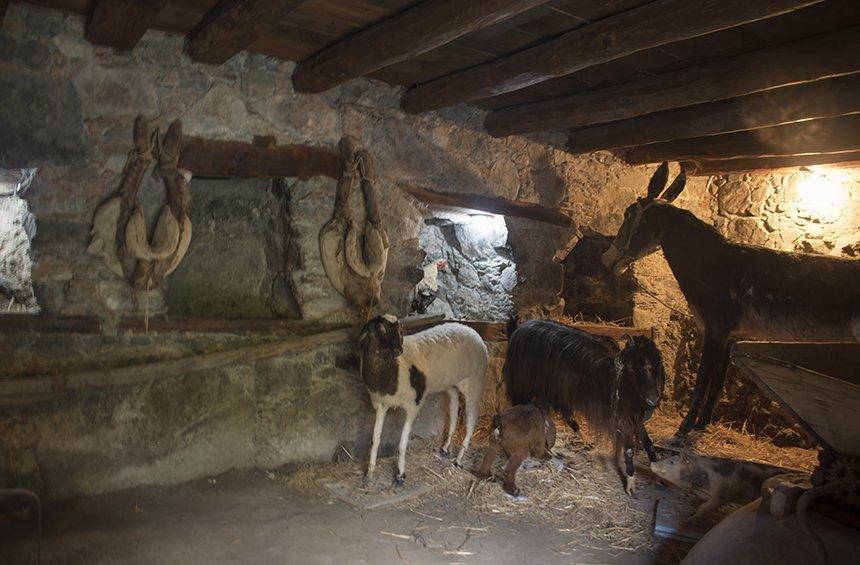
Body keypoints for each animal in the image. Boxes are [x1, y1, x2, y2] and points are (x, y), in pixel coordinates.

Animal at [504, 318, 664, 494]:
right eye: (631, 367)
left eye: (658, 366)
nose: (653, 400)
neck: (618, 379)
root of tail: (520, 328)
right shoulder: (622, 416)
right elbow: (628, 449)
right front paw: (630, 483)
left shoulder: (635, 416)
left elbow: (648, 442)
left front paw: (657, 473)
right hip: (526, 384)